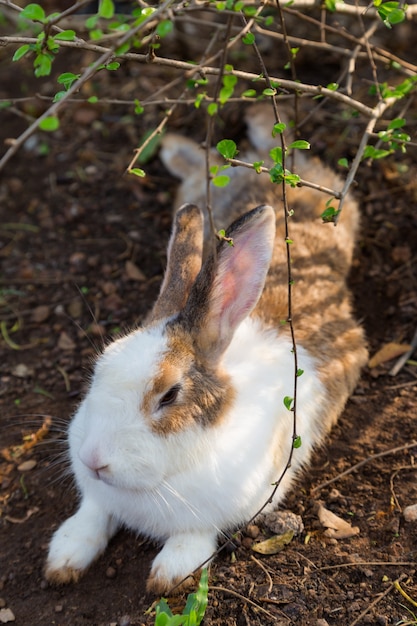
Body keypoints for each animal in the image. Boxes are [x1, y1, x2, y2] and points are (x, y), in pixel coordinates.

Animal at [44, 102, 366, 588]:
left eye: (169, 395)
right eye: (99, 368)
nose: (94, 460)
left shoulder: (228, 507)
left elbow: (194, 537)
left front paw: (169, 575)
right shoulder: (99, 497)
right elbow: (93, 513)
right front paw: (63, 559)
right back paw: (183, 148)